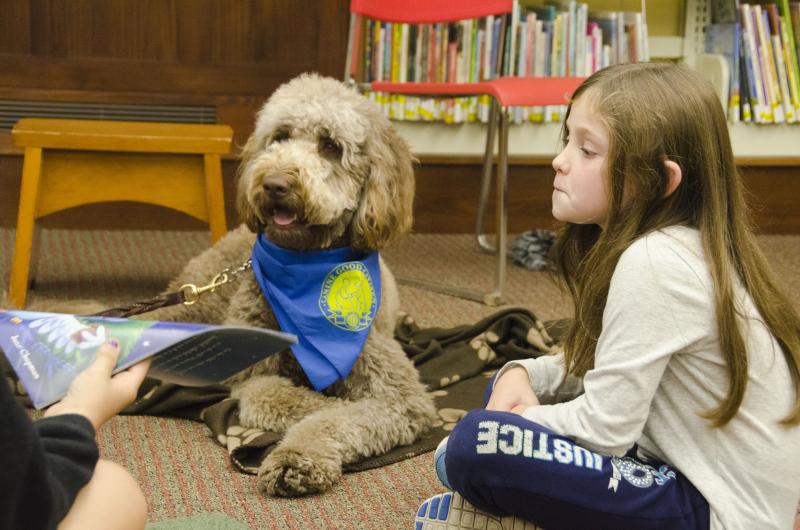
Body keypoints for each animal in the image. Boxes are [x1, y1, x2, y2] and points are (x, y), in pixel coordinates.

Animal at [150, 73, 438, 496]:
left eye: (330, 145)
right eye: (280, 136)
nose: (273, 184)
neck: (305, 264)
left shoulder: (400, 395)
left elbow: (340, 417)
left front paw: (295, 459)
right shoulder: (251, 373)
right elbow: (279, 397)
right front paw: (323, 407)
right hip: (196, 303)